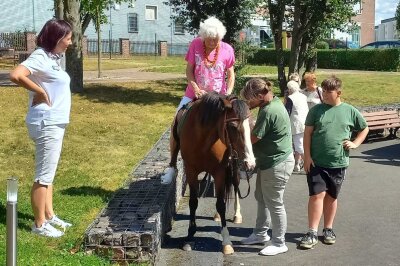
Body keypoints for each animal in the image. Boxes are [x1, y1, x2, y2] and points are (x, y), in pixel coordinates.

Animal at [161, 92, 255, 255]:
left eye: (251, 126)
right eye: (232, 126)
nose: (250, 163)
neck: (203, 138)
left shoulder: (219, 171)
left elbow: (221, 204)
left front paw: (227, 242)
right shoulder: (191, 170)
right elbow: (193, 202)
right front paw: (190, 236)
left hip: (234, 166)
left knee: (235, 186)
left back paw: (237, 215)